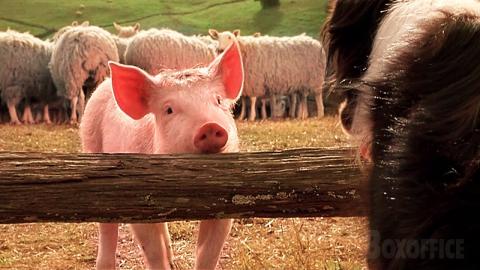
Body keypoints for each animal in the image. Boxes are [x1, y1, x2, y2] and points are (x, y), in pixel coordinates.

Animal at [79, 41, 244, 268]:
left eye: (218, 101)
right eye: (169, 110)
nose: (210, 126)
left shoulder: (225, 208)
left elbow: (208, 254)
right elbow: (153, 252)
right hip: (91, 145)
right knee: (107, 228)